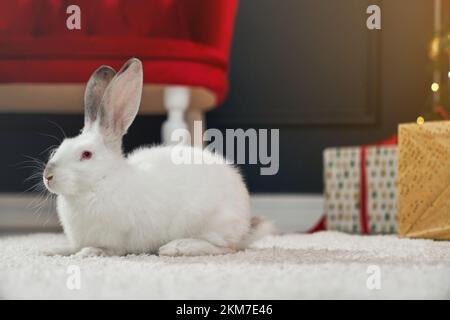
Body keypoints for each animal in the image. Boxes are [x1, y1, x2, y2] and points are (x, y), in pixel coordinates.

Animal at [42, 57, 272, 258]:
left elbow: (110, 250)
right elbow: (70, 247)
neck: (102, 181)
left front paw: (89, 252)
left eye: (86, 154)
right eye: (58, 148)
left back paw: (176, 247)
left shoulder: (117, 240)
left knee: (225, 248)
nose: (48, 176)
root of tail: (244, 225)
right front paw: (51, 250)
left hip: (208, 222)